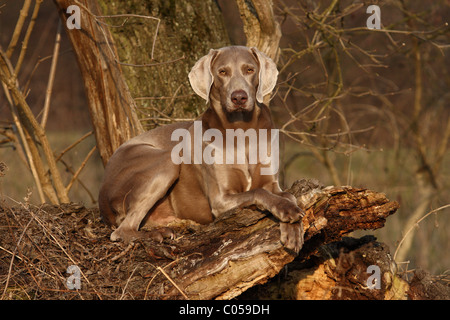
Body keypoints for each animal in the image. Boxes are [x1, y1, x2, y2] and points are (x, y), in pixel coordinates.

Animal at [99, 46, 306, 254]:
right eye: (222, 72)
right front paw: (287, 211)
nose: (239, 97)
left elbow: (287, 194)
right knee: (121, 231)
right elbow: (258, 192)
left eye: (250, 69)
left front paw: (293, 228)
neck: (241, 131)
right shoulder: (221, 199)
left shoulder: (271, 182)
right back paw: (156, 235)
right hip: (166, 161)